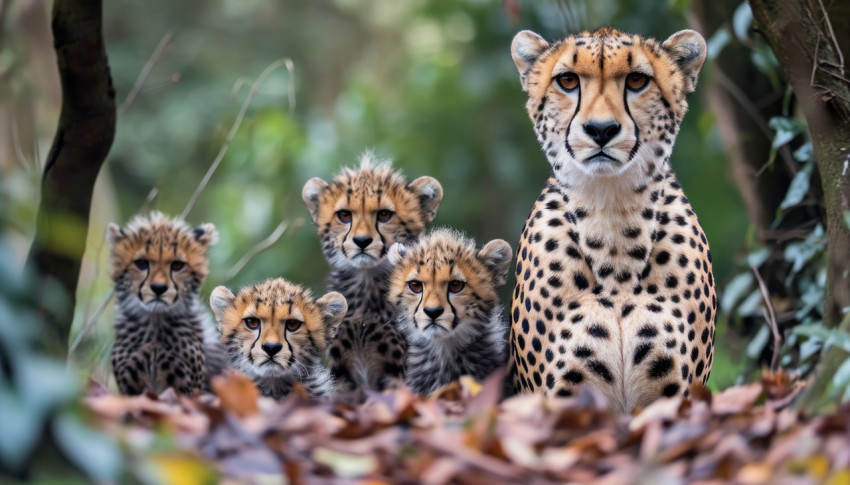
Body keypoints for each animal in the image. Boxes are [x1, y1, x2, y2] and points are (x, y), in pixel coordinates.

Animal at [109, 212, 229, 394]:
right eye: (141, 263)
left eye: (177, 265)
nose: (159, 288)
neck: (155, 325)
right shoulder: (129, 388)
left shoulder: (188, 389)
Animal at [302, 153, 440, 392]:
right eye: (344, 215)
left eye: (384, 215)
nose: (362, 241)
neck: (366, 282)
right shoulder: (342, 369)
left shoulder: (399, 368)